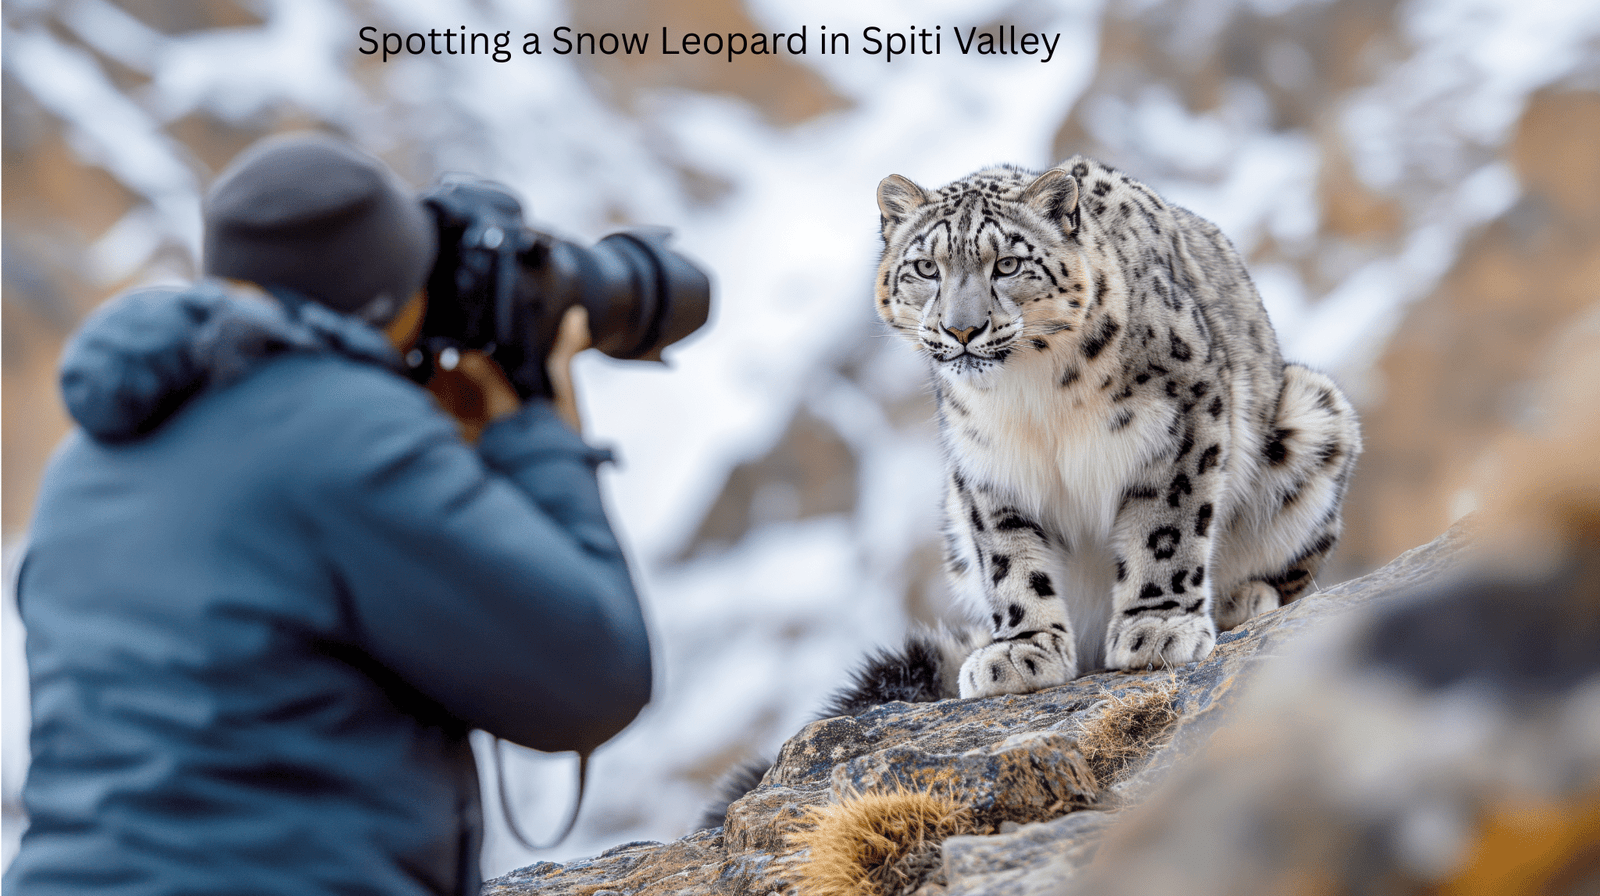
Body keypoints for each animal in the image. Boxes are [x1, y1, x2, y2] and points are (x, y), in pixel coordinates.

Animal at [874, 156, 1361, 699]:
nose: (961, 328)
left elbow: (1166, 527)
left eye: (1007, 265)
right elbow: (1007, 554)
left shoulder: (1181, 422)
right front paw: (1023, 650)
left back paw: (1243, 598)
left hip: (1315, 413)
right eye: (926, 267)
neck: (1030, 396)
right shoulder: (987, 460)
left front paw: (1159, 625)